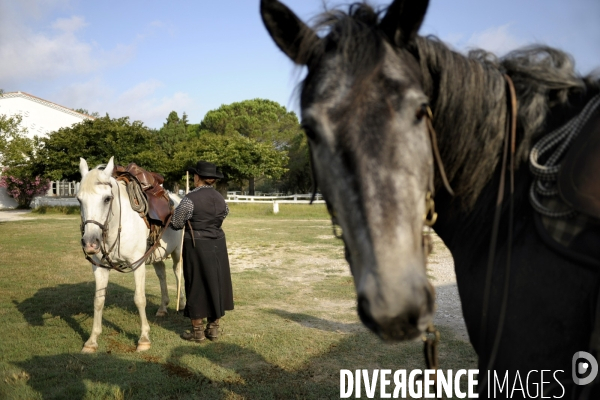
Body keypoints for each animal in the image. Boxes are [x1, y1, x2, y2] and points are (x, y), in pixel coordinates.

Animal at [78, 156, 185, 354]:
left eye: (107, 199)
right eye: (79, 200)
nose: (90, 243)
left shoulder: (137, 264)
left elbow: (139, 299)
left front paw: (144, 339)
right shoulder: (99, 267)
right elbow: (98, 301)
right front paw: (92, 340)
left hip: (178, 252)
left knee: (177, 272)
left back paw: (181, 304)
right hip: (156, 253)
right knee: (162, 274)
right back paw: (162, 307)